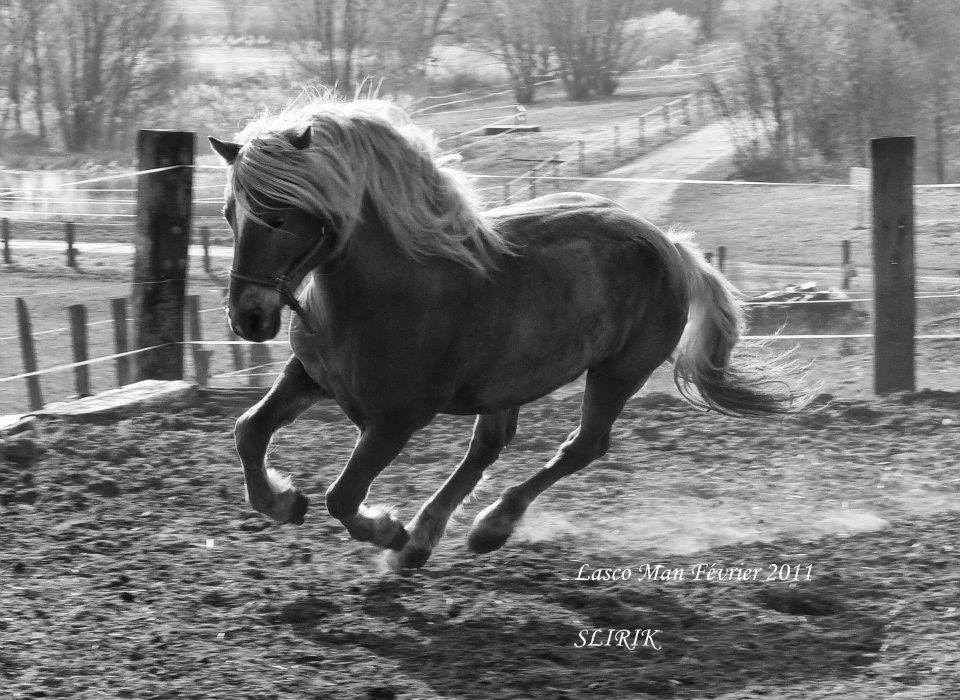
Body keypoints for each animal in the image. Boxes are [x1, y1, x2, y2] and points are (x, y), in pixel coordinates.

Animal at [208, 98, 804, 568]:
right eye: (231, 214)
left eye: (280, 217)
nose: (249, 318)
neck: (384, 294)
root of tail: (671, 246)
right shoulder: (311, 377)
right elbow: (248, 431)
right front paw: (286, 503)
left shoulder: (399, 418)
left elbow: (342, 495)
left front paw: (387, 530)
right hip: (508, 385)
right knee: (490, 447)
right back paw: (424, 542)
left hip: (618, 372)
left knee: (582, 447)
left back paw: (480, 530)